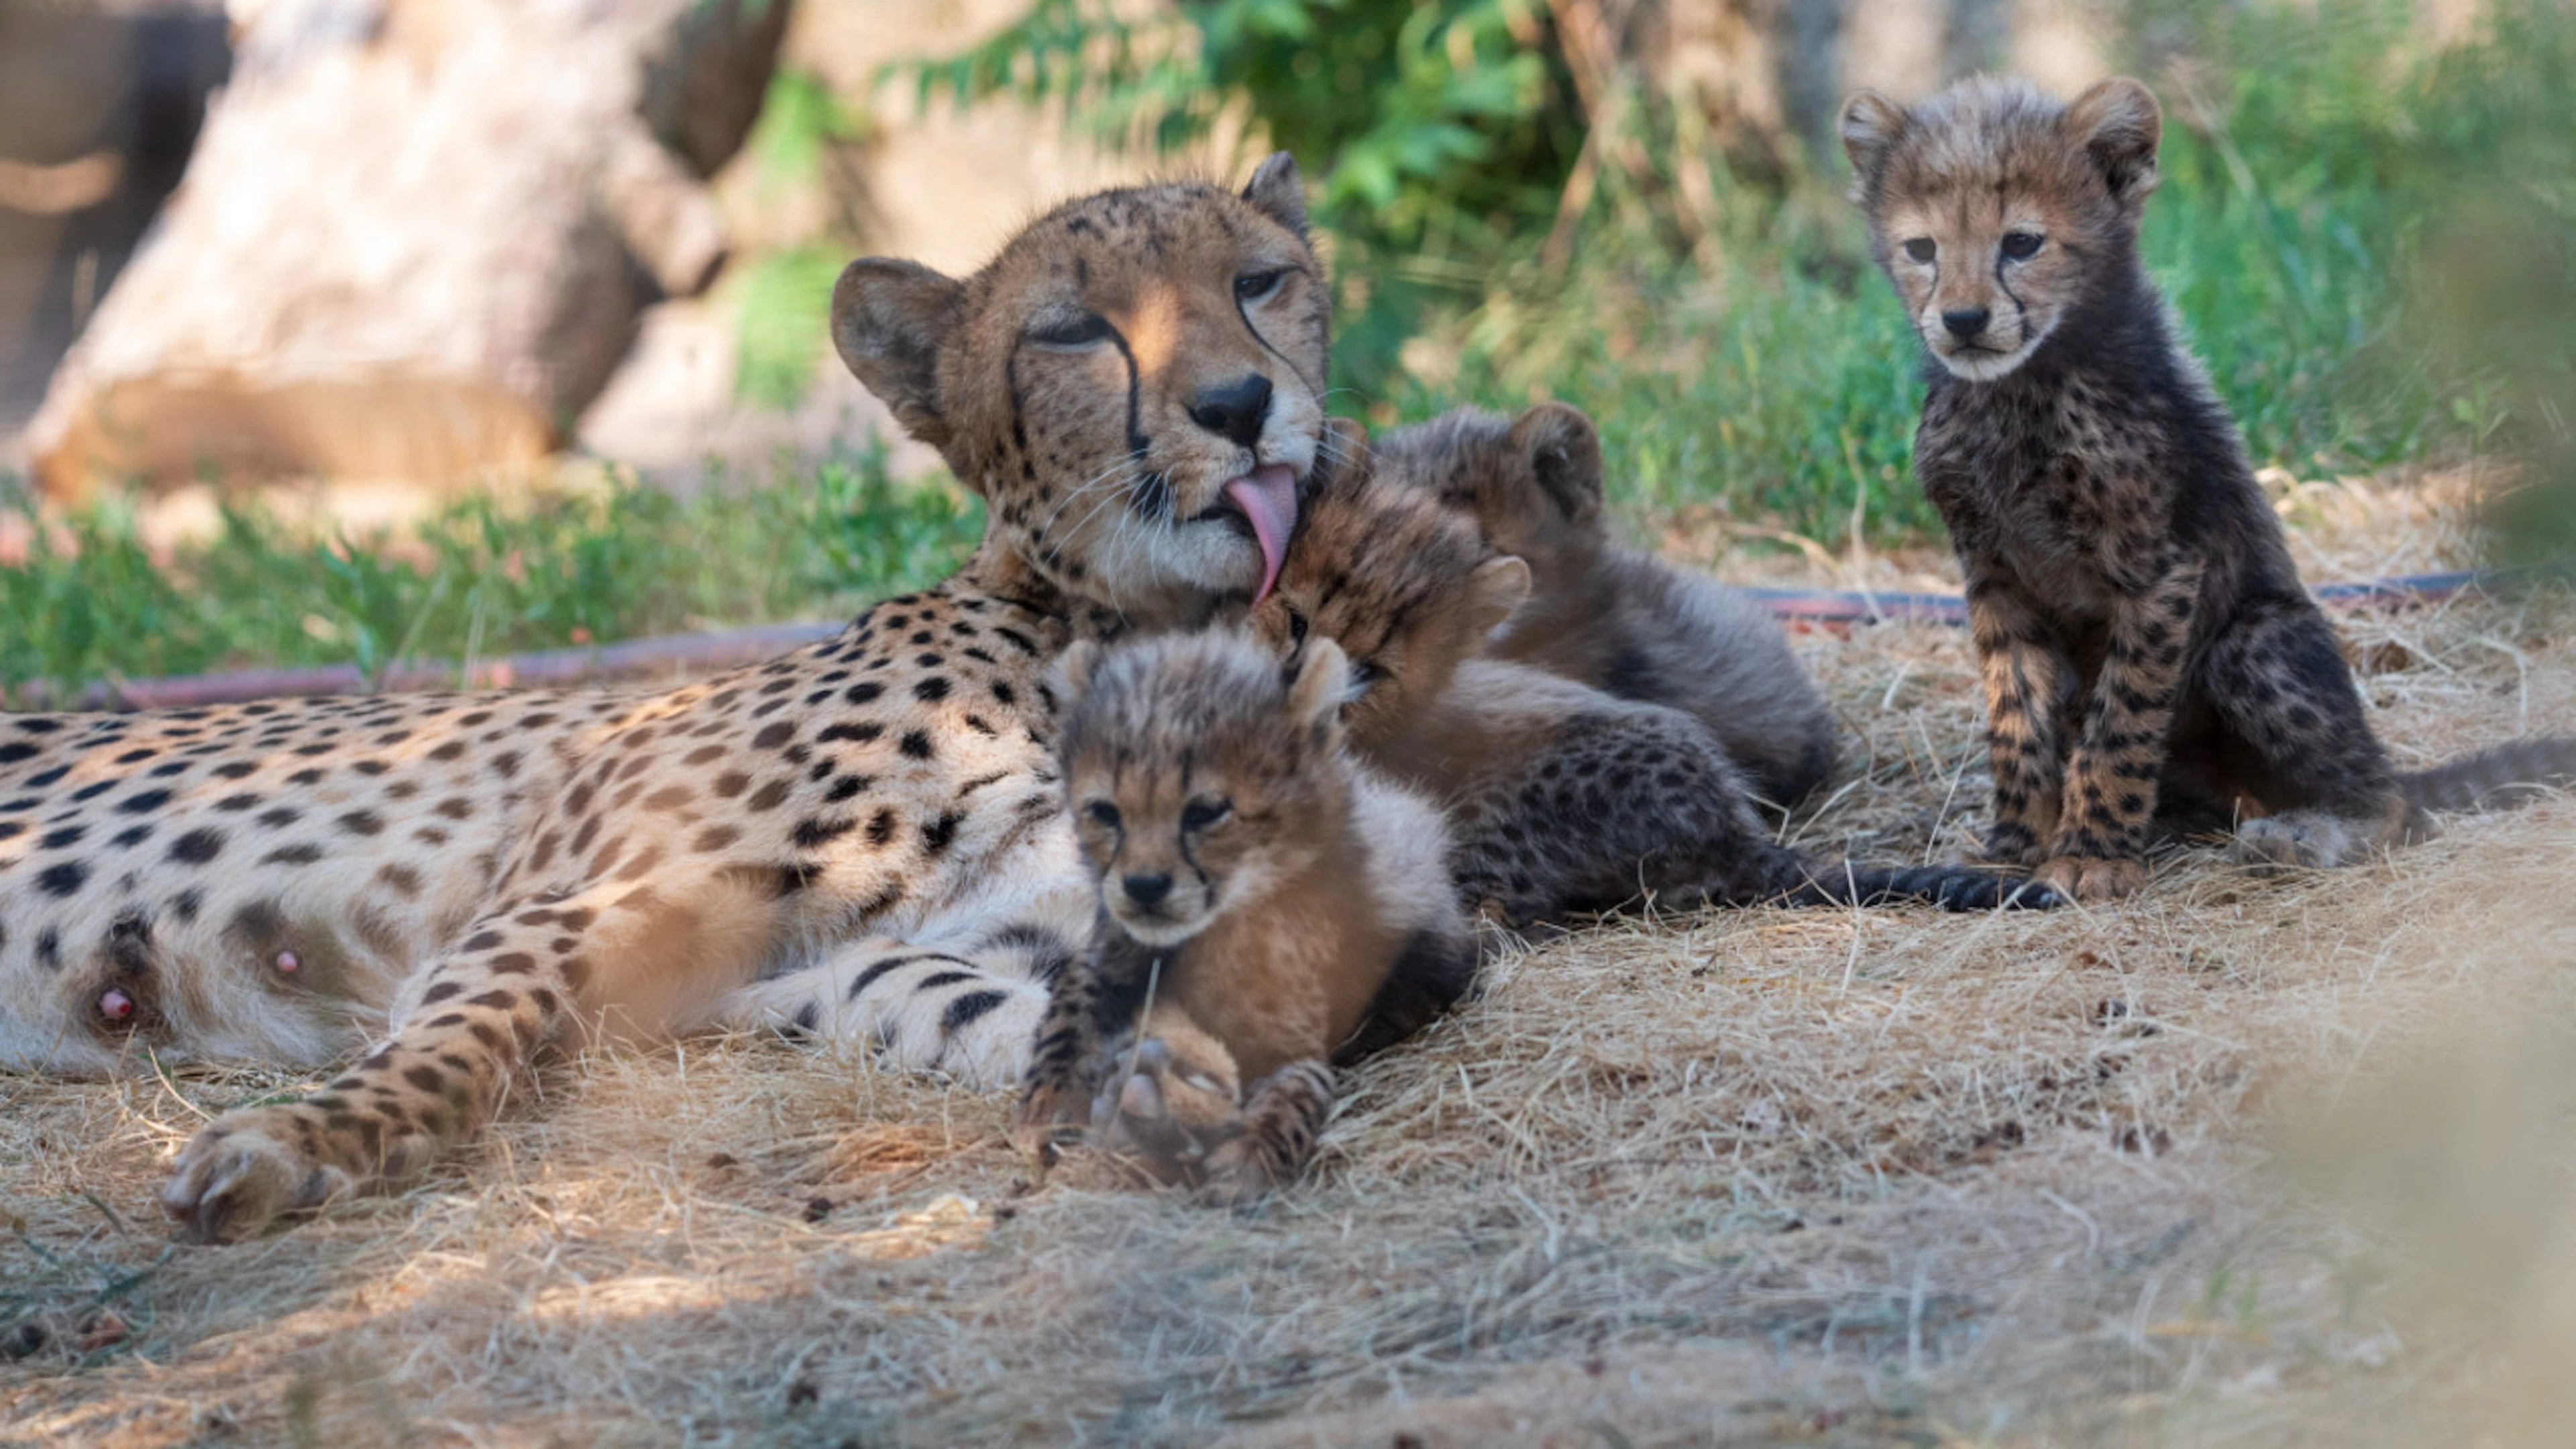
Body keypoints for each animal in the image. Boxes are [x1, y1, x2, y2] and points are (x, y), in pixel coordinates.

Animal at [0, 153, 1343, 1242]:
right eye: (1073, 332)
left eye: (1259, 283)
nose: (1240, 407)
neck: (1130, 635)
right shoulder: (553, 906)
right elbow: (457, 1042)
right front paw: (295, 1143)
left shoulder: (808, 974)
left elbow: (973, 998)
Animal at [1012, 626, 1473, 1205]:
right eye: (1105, 812)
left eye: (1207, 812)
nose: (1143, 887)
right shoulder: (1110, 954)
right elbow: (1072, 1005)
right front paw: (1050, 1100)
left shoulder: (1297, 1036)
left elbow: (1302, 1083)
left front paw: (1252, 1147)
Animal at [1841, 74, 2576, 902]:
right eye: (1922, 250)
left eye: (2021, 243)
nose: (1964, 320)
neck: (2020, 390)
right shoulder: (1993, 574)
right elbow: (2016, 719)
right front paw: (2016, 846)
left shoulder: (2160, 569)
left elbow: (2122, 720)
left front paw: (2094, 851)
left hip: (2253, 641)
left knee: (2392, 803)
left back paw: (2300, 834)